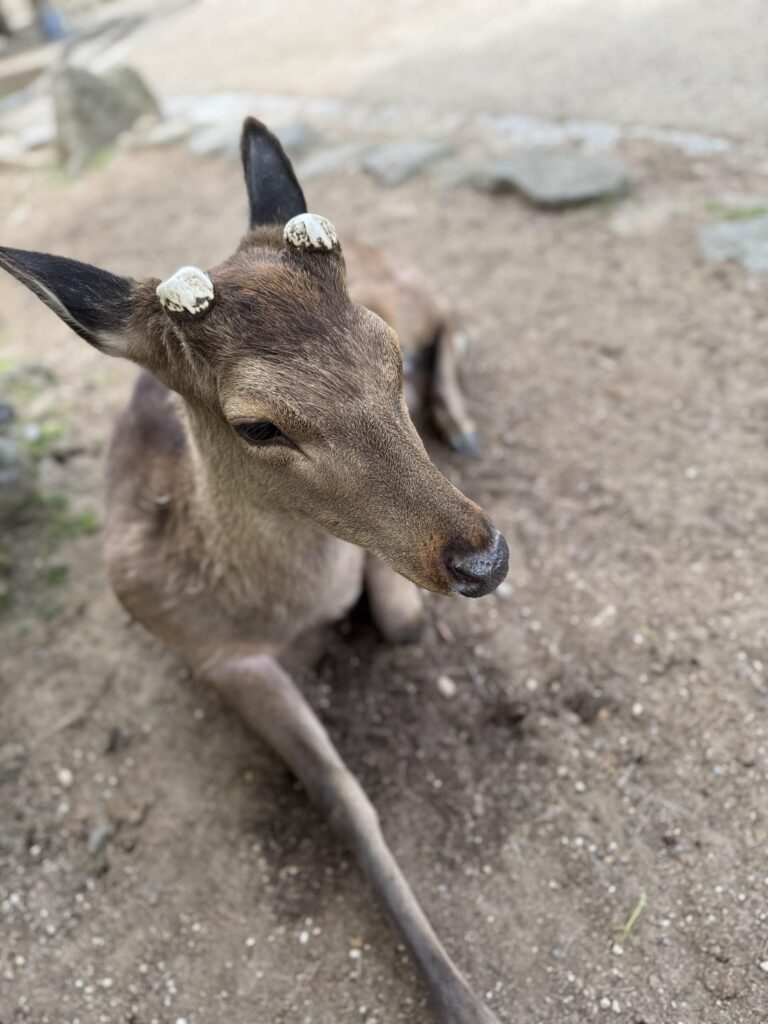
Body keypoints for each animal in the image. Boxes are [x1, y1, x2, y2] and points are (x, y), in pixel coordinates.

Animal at [0, 119, 509, 1024]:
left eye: (384, 355)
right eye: (258, 425)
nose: (484, 557)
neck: (282, 602)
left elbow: (401, 619)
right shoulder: (209, 652)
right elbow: (341, 795)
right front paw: (459, 996)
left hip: (416, 289)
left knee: (454, 311)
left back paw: (459, 416)